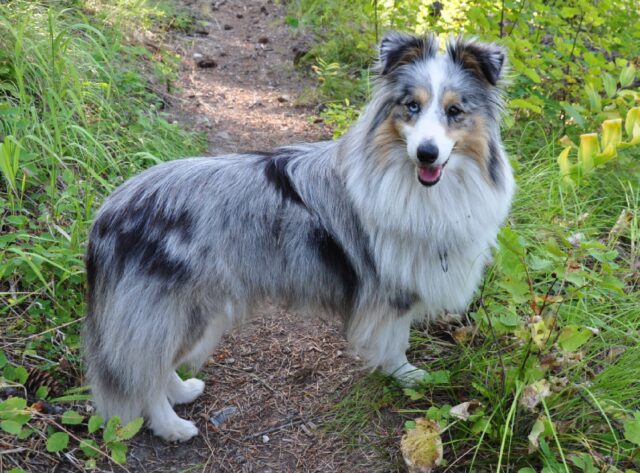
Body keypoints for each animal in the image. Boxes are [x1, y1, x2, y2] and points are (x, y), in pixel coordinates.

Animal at [84, 31, 516, 440]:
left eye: (454, 111)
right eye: (412, 106)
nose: (427, 153)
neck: (415, 184)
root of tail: (110, 212)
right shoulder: (389, 291)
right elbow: (396, 343)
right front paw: (407, 377)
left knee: (152, 366)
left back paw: (182, 391)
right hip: (184, 310)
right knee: (144, 376)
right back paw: (172, 426)